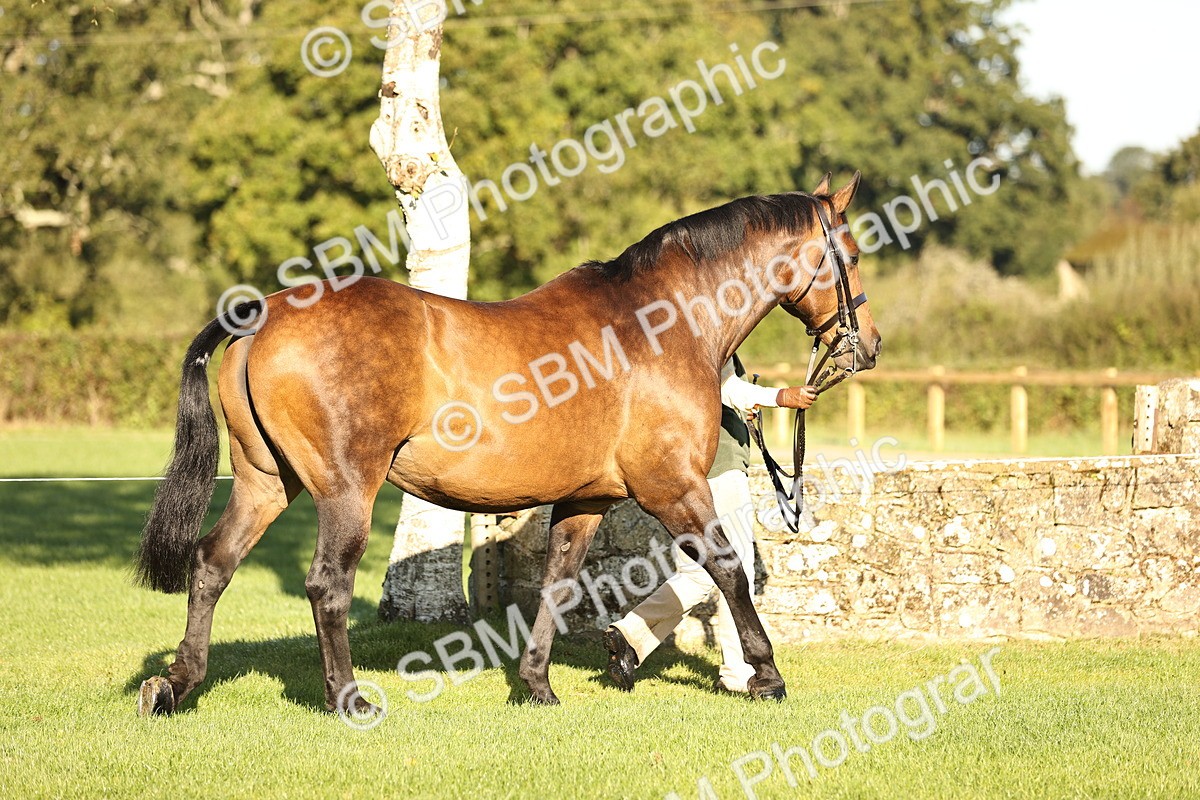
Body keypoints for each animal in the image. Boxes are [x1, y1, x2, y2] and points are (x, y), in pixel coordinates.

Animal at [134, 173, 881, 716]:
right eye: (851, 253)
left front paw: (538, 684)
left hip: (267, 481)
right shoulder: (672, 485)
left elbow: (557, 586)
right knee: (326, 584)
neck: (659, 323)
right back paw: (348, 700)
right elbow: (728, 570)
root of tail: (263, 313)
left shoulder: (585, 502)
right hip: (346, 489)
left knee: (212, 563)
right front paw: (767, 675)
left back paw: (174, 686)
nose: (866, 346)